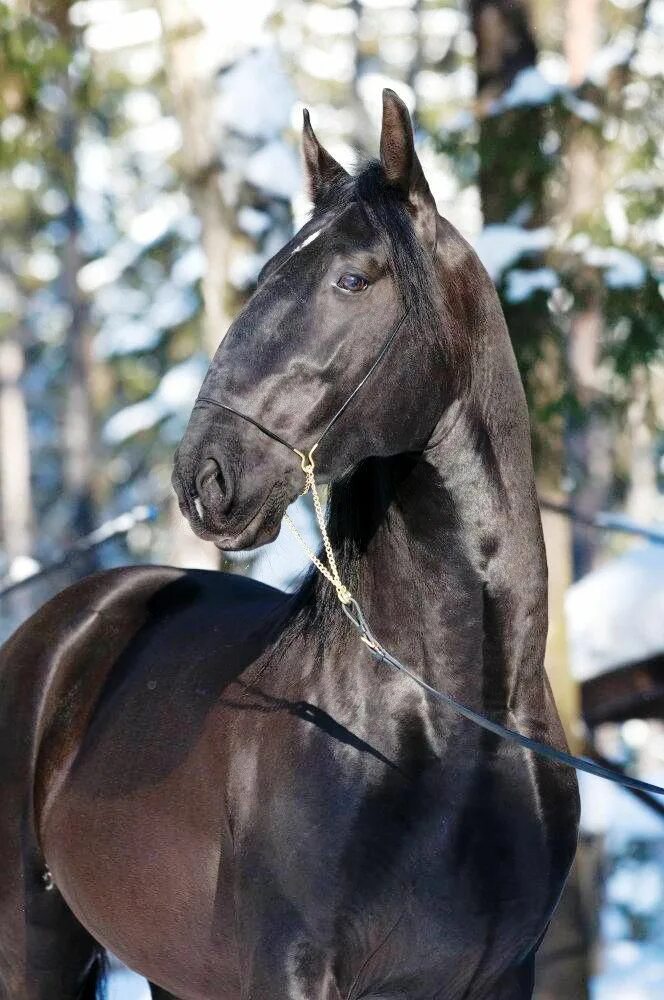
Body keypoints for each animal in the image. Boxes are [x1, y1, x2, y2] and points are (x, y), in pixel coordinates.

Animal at [1, 90, 576, 996]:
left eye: (353, 279)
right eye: (269, 272)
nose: (205, 476)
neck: (458, 728)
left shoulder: (502, 976)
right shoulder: (292, 971)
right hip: (33, 948)